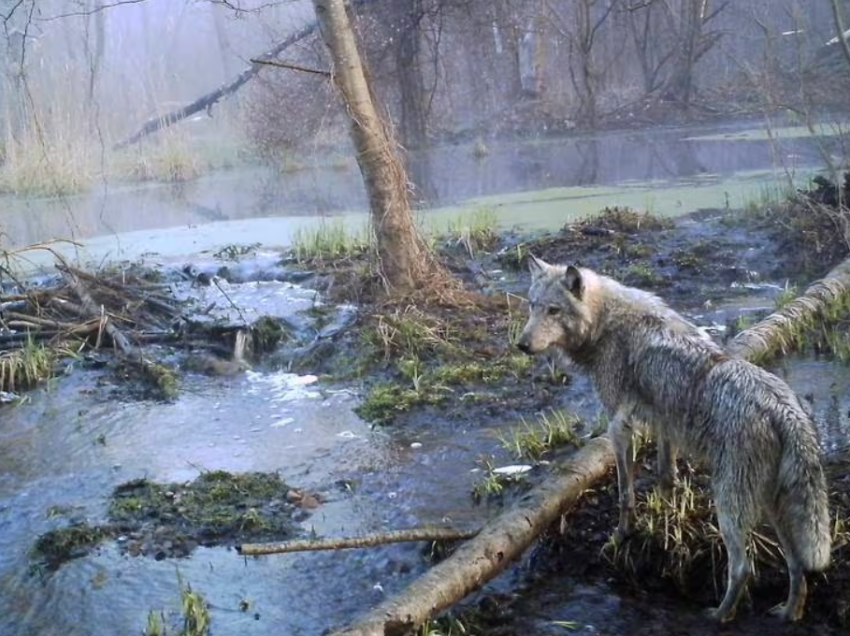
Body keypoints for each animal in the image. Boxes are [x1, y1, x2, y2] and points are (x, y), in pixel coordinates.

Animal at [516, 255, 828, 620]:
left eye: (553, 311)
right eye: (533, 306)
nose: (521, 345)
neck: (605, 323)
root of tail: (784, 409)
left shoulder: (619, 427)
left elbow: (625, 494)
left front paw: (621, 537)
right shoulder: (664, 424)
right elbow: (666, 477)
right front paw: (664, 523)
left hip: (730, 507)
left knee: (742, 568)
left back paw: (719, 616)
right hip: (771, 506)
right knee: (797, 565)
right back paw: (788, 613)